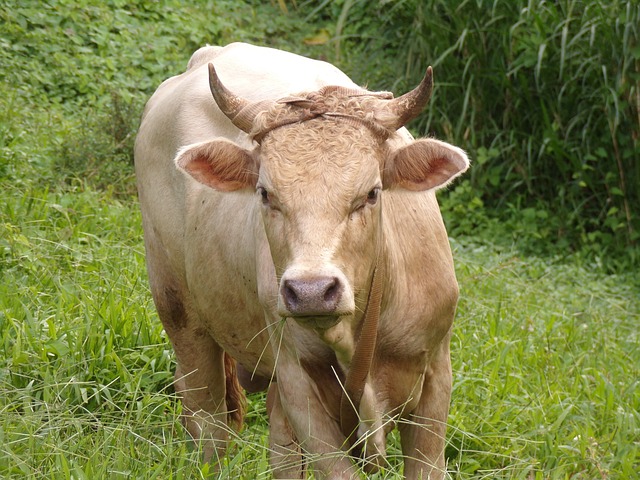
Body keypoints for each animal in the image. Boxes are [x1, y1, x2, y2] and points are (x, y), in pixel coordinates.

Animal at [135, 42, 468, 480]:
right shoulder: (298, 384)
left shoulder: (436, 378)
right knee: (207, 422)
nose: (311, 291)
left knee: (281, 450)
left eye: (372, 193)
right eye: (265, 193)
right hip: (179, 312)